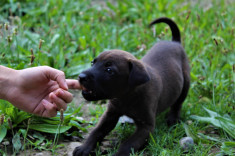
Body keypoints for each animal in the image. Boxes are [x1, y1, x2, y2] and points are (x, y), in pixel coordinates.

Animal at [73, 17, 191, 156]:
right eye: (93, 63)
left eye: (109, 70)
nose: (81, 76)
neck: (126, 97)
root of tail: (175, 42)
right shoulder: (110, 115)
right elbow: (96, 131)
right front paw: (84, 148)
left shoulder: (146, 127)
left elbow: (128, 144)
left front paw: (118, 154)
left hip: (185, 84)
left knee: (178, 103)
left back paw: (173, 119)